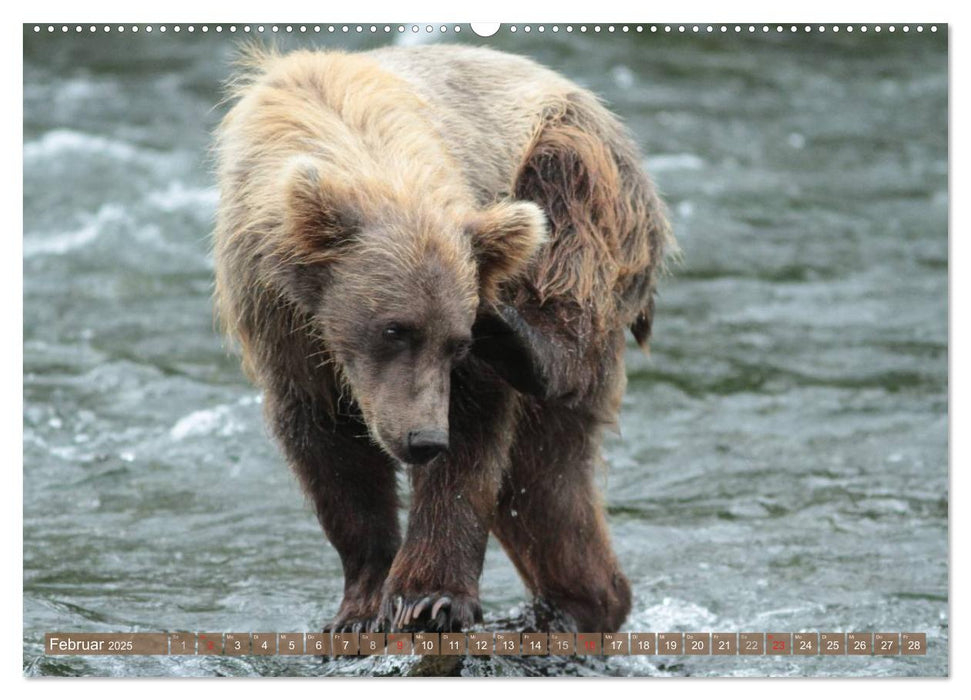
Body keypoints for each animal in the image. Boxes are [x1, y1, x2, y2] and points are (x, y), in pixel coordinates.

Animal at [212, 42, 672, 636]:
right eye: (393, 328)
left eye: (456, 342)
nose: (425, 438)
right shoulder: (280, 319)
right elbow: (330, 452)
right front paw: (361, 605)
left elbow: (471, 441)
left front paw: (428, 598)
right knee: (544, 480)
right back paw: (578, 603)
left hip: (581, 165)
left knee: (568, 259)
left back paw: (522, 337)